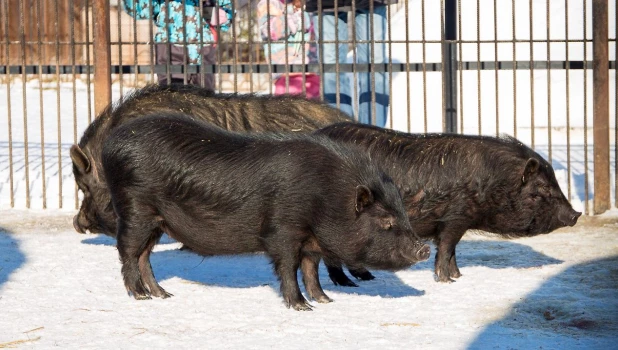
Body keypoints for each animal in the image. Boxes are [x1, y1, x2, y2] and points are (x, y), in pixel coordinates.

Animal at [316, 123, 580, 284]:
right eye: (541, 189)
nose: (576, 214)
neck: (494, 184)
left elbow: (452, 251)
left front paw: (458, 277)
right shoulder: (455, 218)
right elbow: (446, 248)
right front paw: (447, 280)